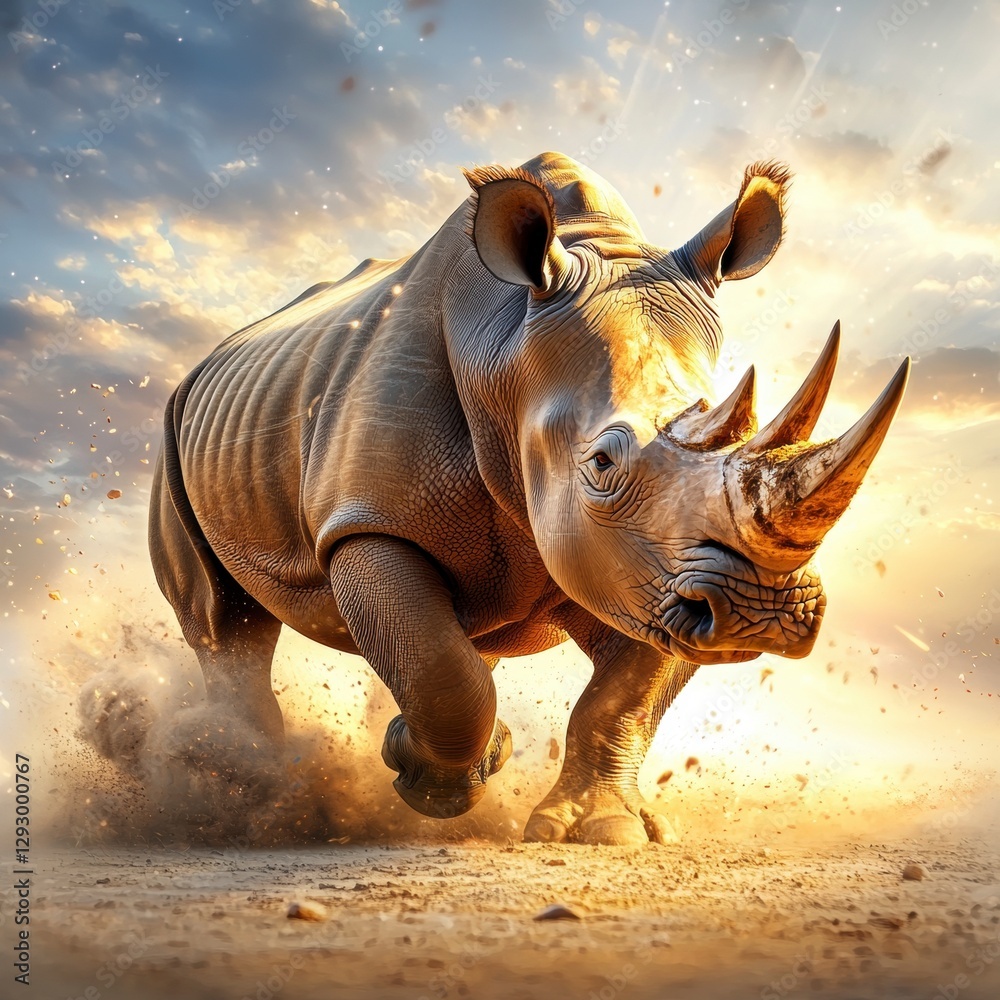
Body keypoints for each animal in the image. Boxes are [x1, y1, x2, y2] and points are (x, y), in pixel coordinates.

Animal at [149, 151, 908, 845]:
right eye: (602, 462)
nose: (761, 613)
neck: (506, 354)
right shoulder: (368, 524)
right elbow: (441, 675)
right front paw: (429, 786)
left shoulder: (650, 569)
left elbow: (619, 700)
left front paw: (603, 829)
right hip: (176, 428)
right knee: (226, 624)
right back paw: (250, 788)